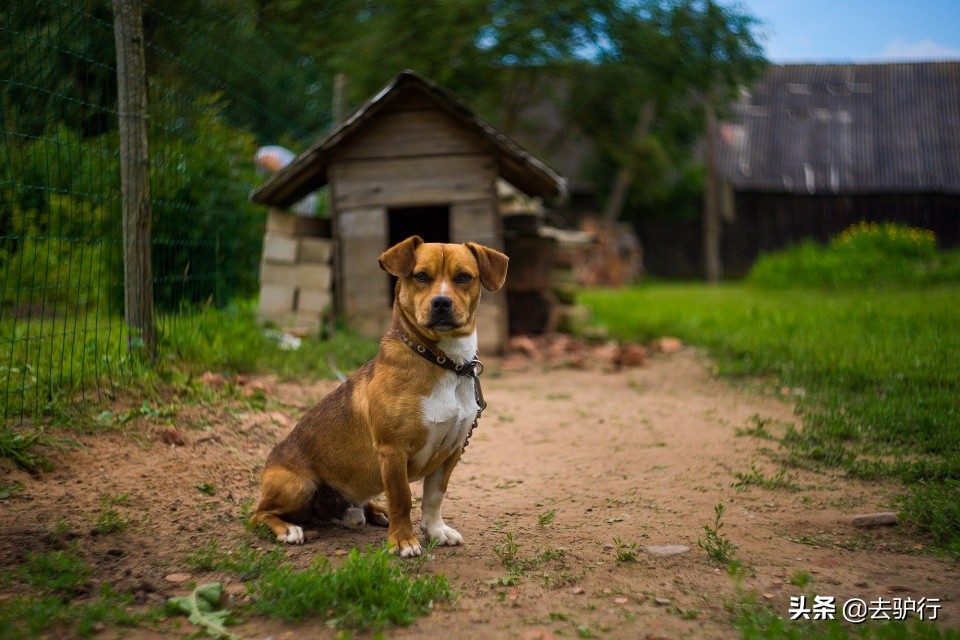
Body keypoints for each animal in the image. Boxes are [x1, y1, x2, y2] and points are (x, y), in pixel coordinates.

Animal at [253, 234, 510, 556]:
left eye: (464, 277)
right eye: (421, 276)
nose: (441, 303)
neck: (442, 361)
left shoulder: (452, 450)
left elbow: (433, 498)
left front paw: (435, 530)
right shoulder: (393, 450)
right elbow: (402, 498)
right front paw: (403, 541)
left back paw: (375, 512)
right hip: (296, 487)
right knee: (259, 514)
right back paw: (289, 530)